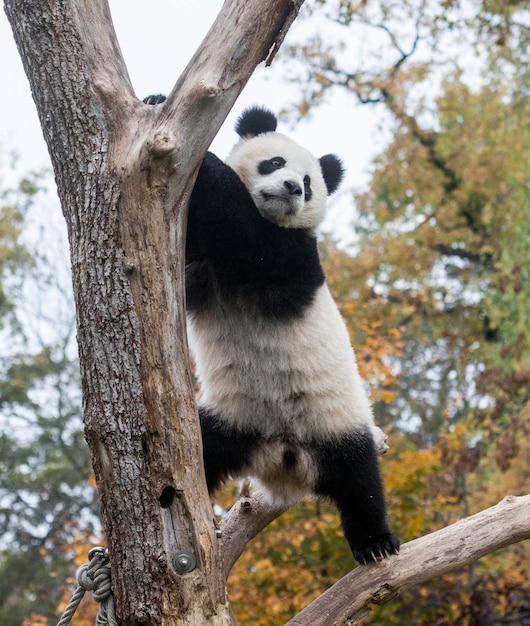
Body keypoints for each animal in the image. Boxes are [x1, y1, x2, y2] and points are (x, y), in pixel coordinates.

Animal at [142, 95, 398, 564]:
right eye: (275, 162)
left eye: (309, 183)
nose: (293, 188)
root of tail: (283, 459)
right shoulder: (198, 268)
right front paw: (155, 102)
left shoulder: (292, 255)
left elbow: (249, 236)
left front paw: (204, 157)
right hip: (232, 422)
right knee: (203, 452)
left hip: (335, 422)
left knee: (360, 481)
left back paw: (376, 542)